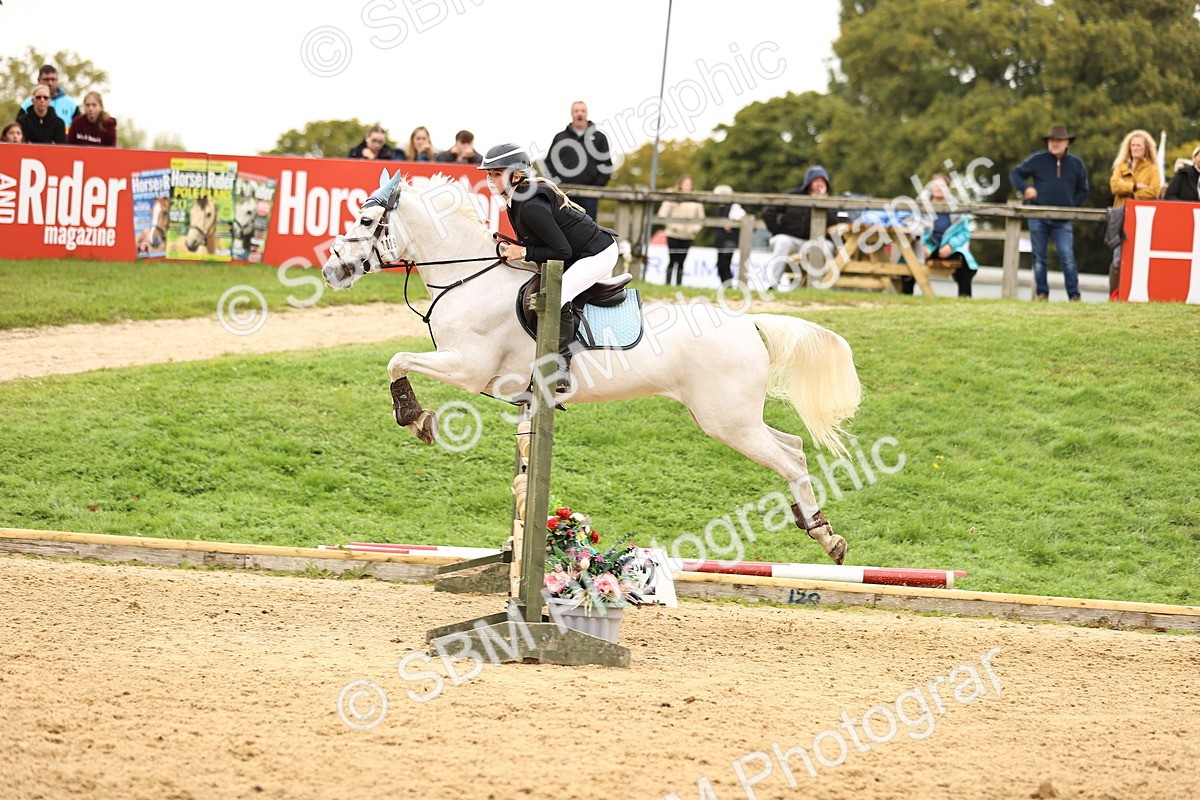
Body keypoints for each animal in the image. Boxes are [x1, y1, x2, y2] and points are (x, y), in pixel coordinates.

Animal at [321, 172, 863, 564]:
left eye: (366, 222)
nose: (330, 269)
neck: (467, 277)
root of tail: (749, 323)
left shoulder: (468, 367)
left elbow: (396, 359)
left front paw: (416, 418)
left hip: (727, 421)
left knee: (789, 459)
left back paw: (826, 538)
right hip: (733, 418)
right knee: (793, 447)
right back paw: (819, 527)